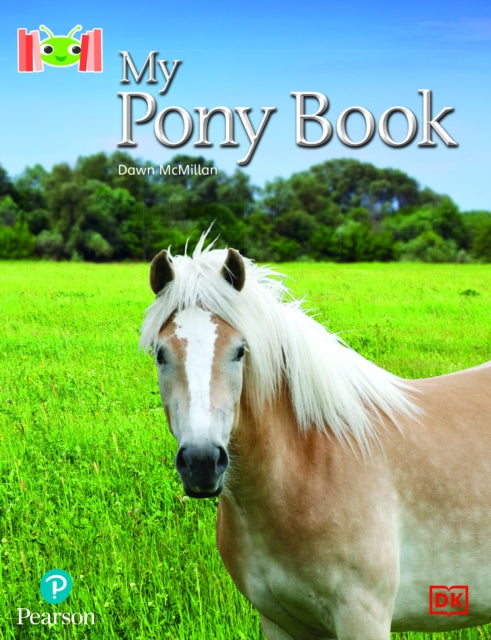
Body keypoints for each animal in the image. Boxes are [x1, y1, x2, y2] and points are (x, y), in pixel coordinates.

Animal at [139, 234, 491, 640]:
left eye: (240, 351)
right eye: (161, 354)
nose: (201, 463)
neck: (309, 466)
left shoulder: (363, 617)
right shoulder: (280, 621)